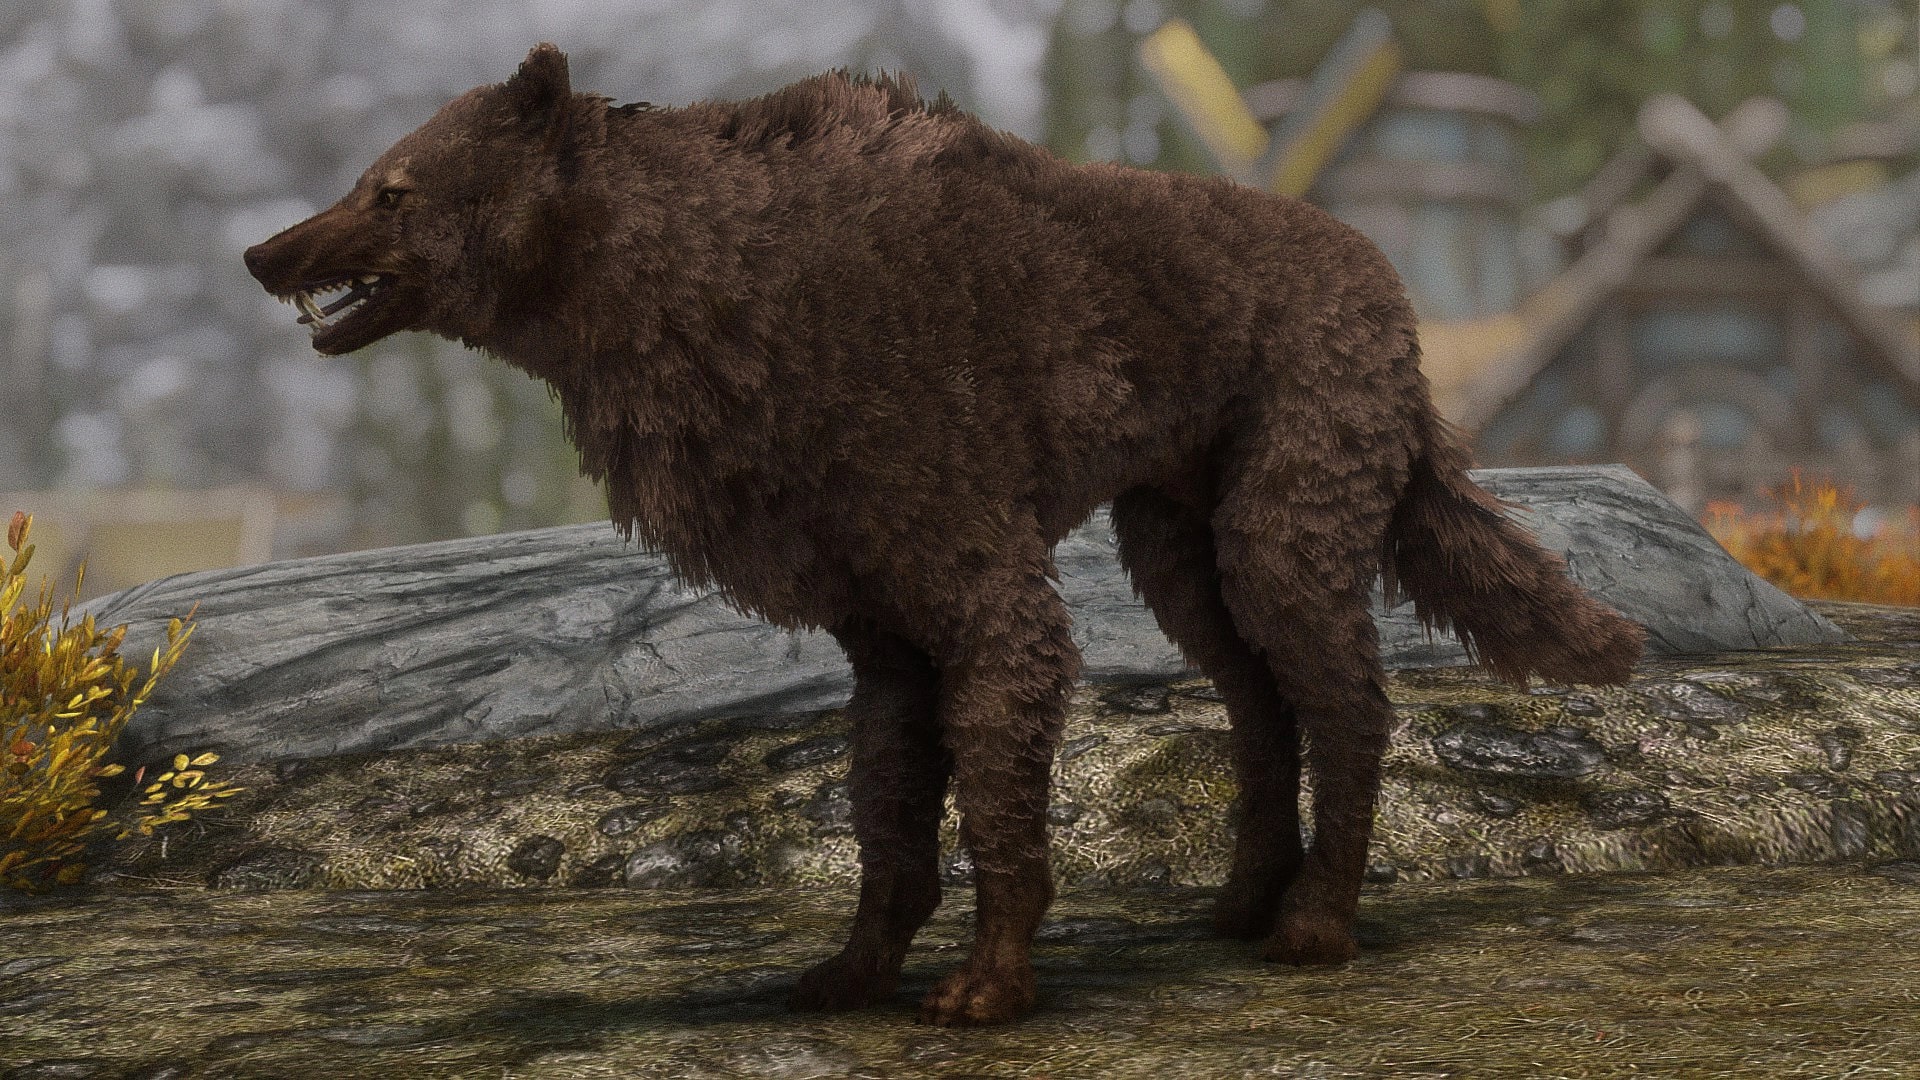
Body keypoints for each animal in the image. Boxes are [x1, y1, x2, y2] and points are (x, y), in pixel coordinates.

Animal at [245, 44, 1645, 1026]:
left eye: (392, 187)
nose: (262, 253)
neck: (712, 291)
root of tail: (1388, 284)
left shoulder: (984, 589)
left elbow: (994, 813)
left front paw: (990, 986)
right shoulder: (875, 624)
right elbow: (886, 818)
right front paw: (853, 969)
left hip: (1281, 521)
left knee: (1346, 701)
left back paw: (1315, 926)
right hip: (1174, 549)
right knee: (1258, 706)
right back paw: (1239, 905)